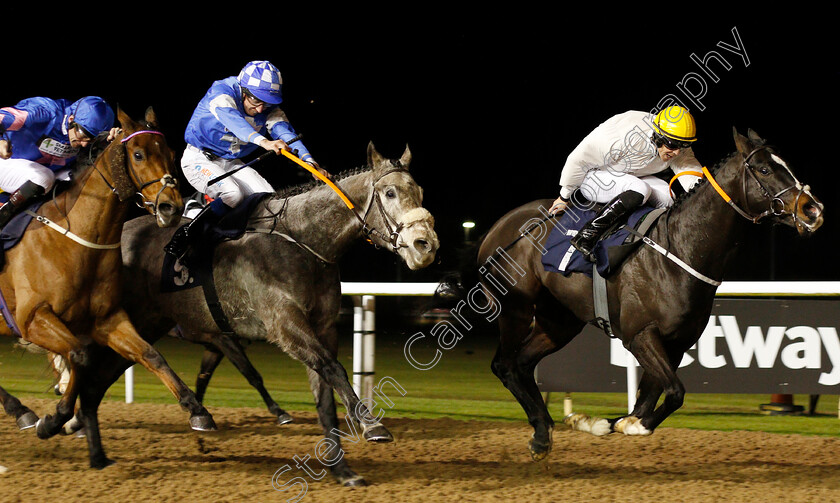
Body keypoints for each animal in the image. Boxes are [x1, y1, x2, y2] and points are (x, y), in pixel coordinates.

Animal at [0, 107, 213, 468]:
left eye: (171, 154)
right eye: (138, 154)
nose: (170, 206)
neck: (75, 239)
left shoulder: (107, 319)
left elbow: (150, 354)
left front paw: (196, 410)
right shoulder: (33, 319)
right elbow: (79, 355)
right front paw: (55, 420)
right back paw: (24, 412)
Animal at [65, 142, 440, 488]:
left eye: (420, 192)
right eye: (390, 192)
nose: (426, 245)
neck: (302, 241)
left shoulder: (321, 328)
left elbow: (324, 397)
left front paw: (343, 471)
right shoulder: (284, 324)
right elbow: (333, 369)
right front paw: (372, 425)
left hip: (143, 326)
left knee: (99, 381)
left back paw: (95, 450)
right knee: (85, 366)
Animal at [442, 129, 824, 460]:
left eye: (786, 164)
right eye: (764, 168)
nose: (813, 209)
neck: (680, 249)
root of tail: (499, 227)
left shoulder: (677, 343)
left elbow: (646, 402)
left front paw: (599, 422)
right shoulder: (640, 336)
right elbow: (674, 394)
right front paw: (628, 426)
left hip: (559, 321)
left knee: (522, 363)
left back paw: (543, 428)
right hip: (516, 308)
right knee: (505, 365)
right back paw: (539, 433)